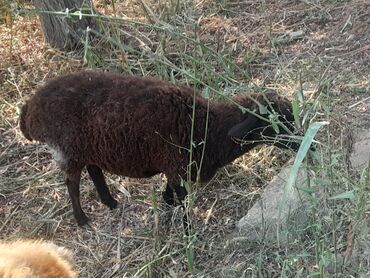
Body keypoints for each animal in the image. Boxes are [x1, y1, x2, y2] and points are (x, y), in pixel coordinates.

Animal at [20, 70, 300, 225]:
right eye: (275, 124)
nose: (305, 145)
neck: (208, 127)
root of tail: (31, 108)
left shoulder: (175, 167)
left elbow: (170, 193)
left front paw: (167, 208)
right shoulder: (177, 165)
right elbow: (182, 201)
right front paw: (187, 232)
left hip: (88, 147)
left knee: (94, 170)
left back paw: (109, 201)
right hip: (70, 150)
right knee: (72, 183)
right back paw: (82, 219)